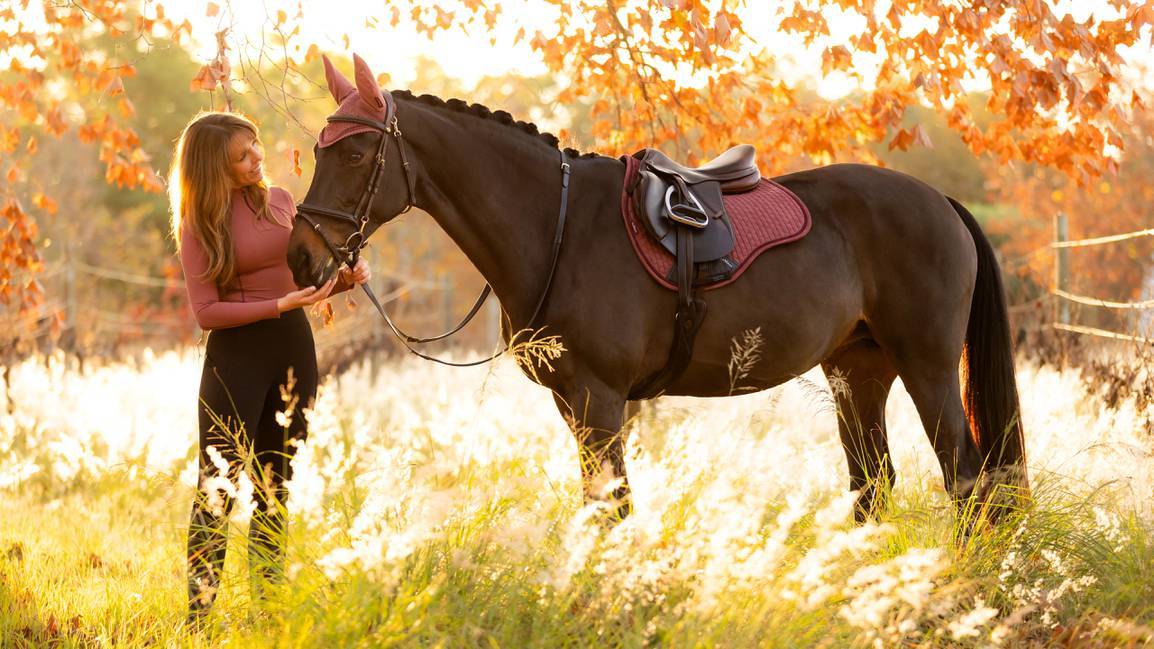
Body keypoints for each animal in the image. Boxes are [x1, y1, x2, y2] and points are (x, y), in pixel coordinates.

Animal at [288, 54, 1029, 519]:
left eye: (354, 152)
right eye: (321, 149)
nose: (300, 257)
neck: (556, 224)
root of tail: (940, 201)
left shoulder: (600, 398)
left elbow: (613, 508)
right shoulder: (571, 401)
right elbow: (598, 506)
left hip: (927, 366)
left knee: (967, 479)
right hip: (858, 370)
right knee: (872, 485)